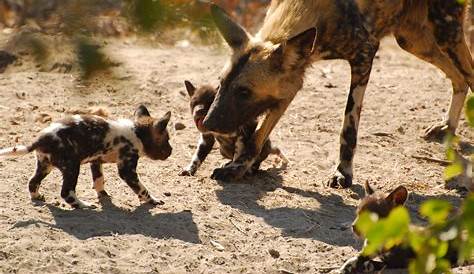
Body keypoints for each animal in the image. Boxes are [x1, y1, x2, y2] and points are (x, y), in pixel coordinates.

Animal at [0, 106, 173, 209]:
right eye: (167, 140)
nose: (171, 150)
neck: (138, 132)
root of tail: (41, 138)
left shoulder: (96, 162)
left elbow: (99, 180)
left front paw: (103, 195)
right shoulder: (127, 170)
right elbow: (142, 189)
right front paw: (153, 200)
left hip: (45, 166)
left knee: (32, 182)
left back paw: (37, 197)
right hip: (72, 167)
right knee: (66, 193)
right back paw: (83, 205)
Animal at [206, 0, 472, 187]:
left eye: (244, 91)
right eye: (221, 84)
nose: (207, 123)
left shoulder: (364, 55)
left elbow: (348, 128)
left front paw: (343, 172)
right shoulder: (291, 84)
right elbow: (257, 136)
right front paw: (239, 165)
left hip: (445, 31)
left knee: (468, 74)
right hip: (412, 39)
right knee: (459, 80)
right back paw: (446, 127)